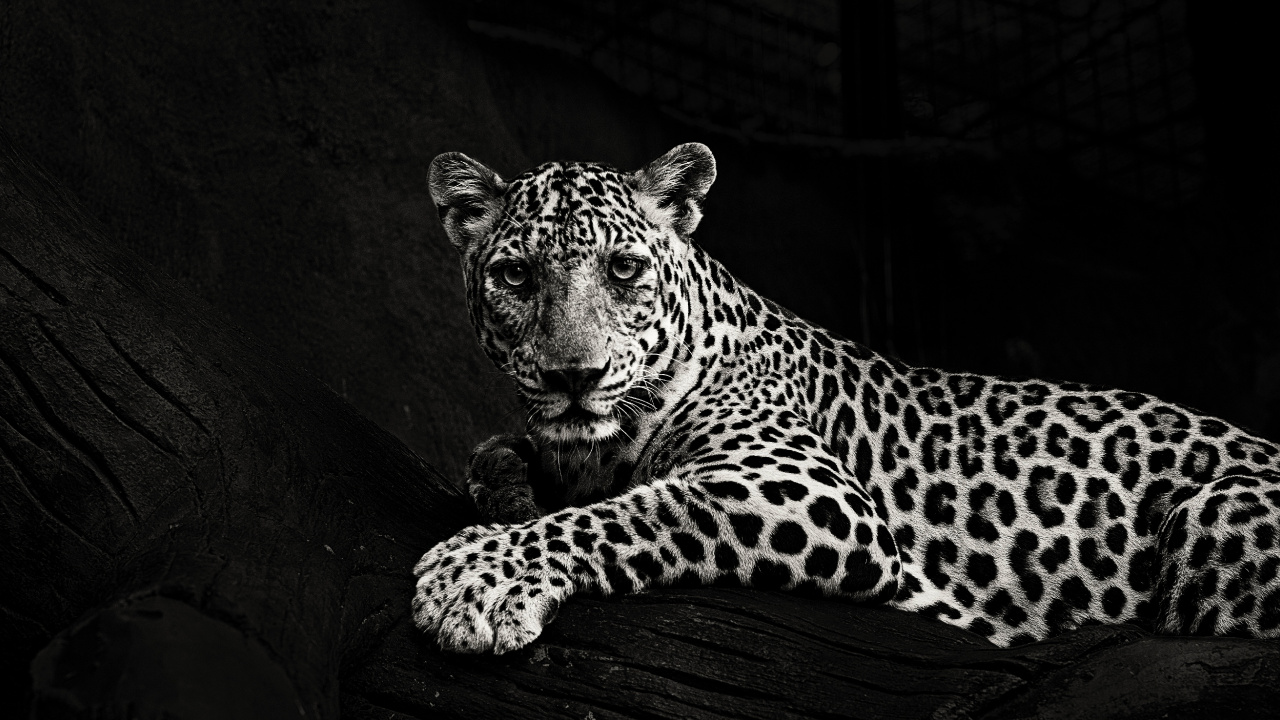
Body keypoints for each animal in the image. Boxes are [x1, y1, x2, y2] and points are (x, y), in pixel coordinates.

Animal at [412, 142, 1280, 654]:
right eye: (516, 276)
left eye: (623, 270)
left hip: (1214, 514)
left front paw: (473, 577)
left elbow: (637, 511)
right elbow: (497, 459)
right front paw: (509, 496)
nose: (575, 376)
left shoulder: (801, 488)